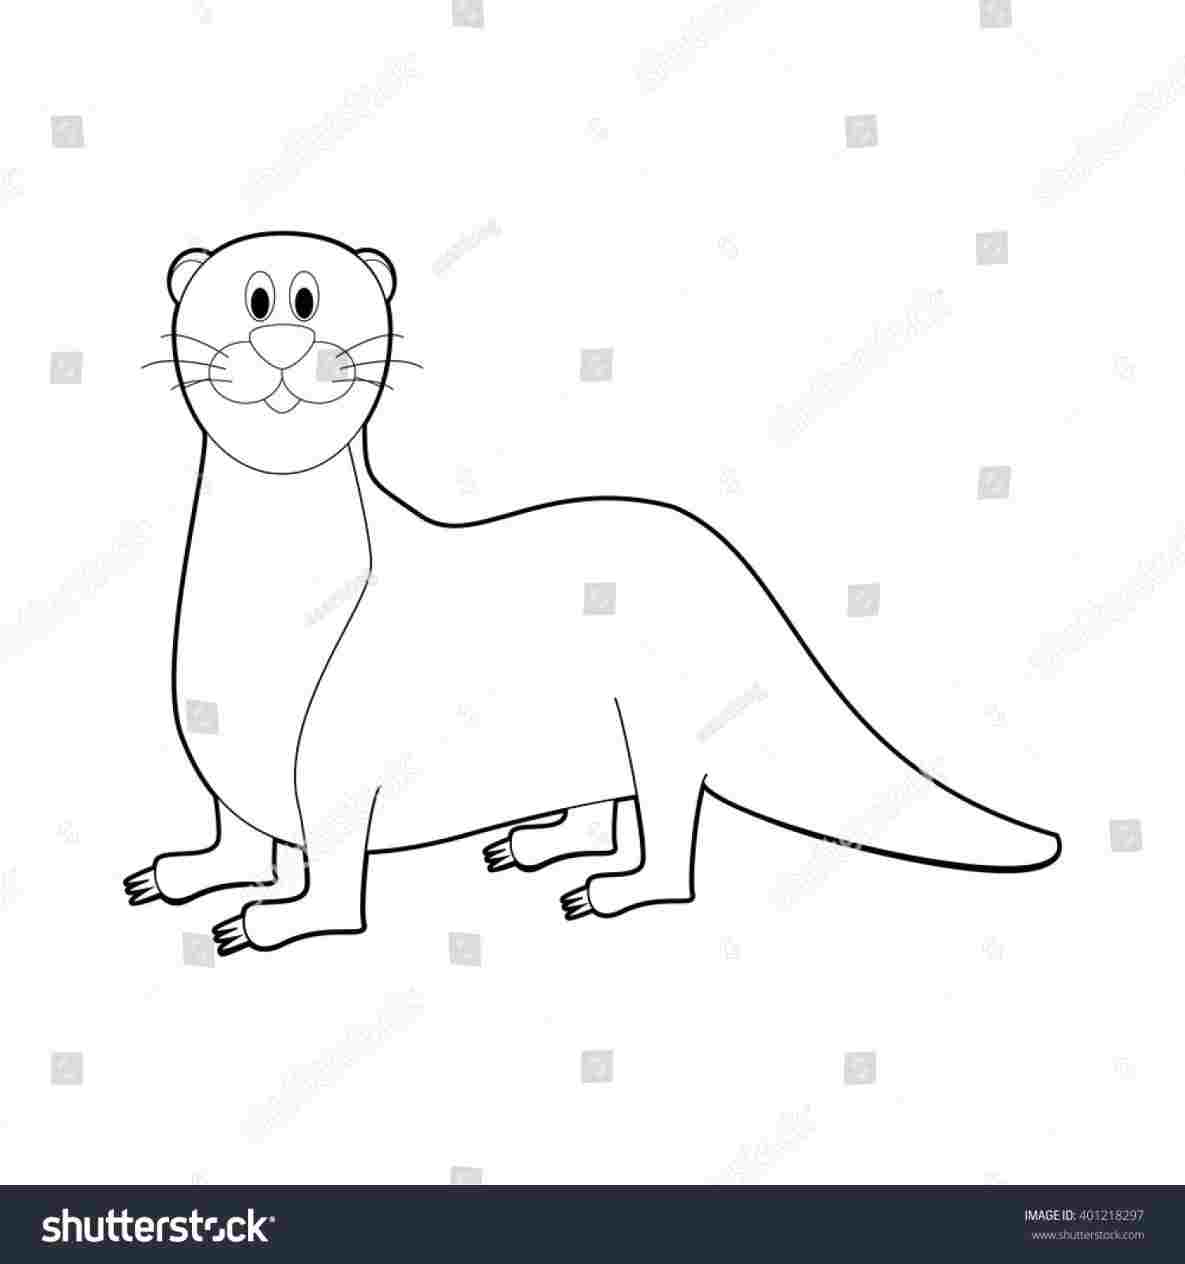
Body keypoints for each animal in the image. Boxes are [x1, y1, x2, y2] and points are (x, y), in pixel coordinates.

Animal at [124, 230, 1060, 956]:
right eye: (253, 298)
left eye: (306, 298)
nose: (283, 338)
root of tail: (749, 590)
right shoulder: (220, 738)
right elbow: (239, 830)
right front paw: (191, 873)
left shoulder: (335, 759)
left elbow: (333, 879)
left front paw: (273, 920)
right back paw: (537, 846)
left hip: (665, 717)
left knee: (674, 838)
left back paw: (610, 888)